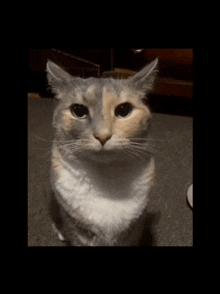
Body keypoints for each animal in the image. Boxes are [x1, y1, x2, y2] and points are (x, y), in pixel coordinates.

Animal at [46, 58, 158, 246]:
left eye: (124, 110)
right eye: (78, 110)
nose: (103, 135)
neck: (106, 178)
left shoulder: (134, 229)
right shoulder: (76, 228)